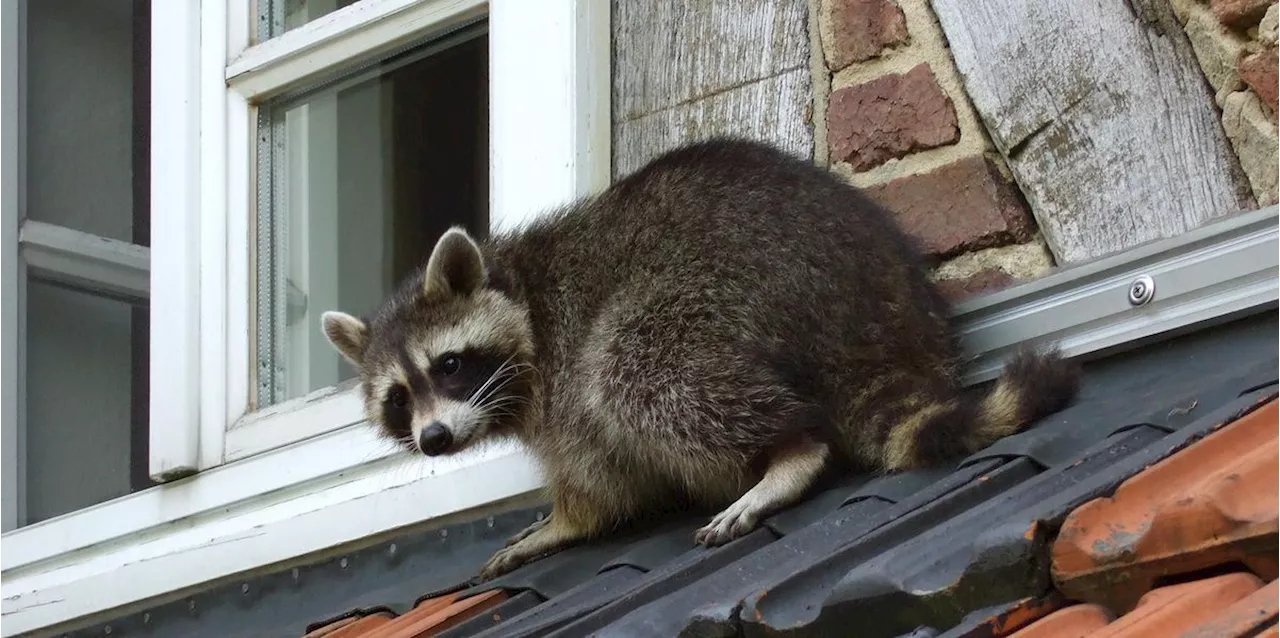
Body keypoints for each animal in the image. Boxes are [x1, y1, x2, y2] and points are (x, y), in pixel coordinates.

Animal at [320, 137, 1080, 581]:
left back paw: (788, 451)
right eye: (398, 398)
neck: (520, 288)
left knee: (634, 371)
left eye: (448, 366)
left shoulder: (560, 374)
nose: (433, 439)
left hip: (724, 290)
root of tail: (874, 319)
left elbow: (598, 479)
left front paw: (567, 521)